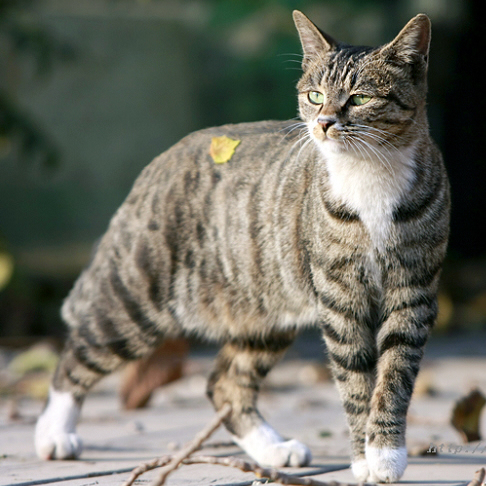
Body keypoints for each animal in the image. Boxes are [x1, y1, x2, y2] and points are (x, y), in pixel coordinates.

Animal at [36, 10, 450, 482]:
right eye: (315, 95)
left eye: (360, 98)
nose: (324, 123)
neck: (369, 175)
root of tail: (161, 160)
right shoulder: (341, 297)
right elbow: (354, 379)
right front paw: (365, 460)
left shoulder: (413, 291)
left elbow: (395, 373)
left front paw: (384, 452)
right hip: (137, 299)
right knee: (77, 354)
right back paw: (54, 434)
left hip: (265, 313)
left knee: (225, 384)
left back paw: (273, 449)